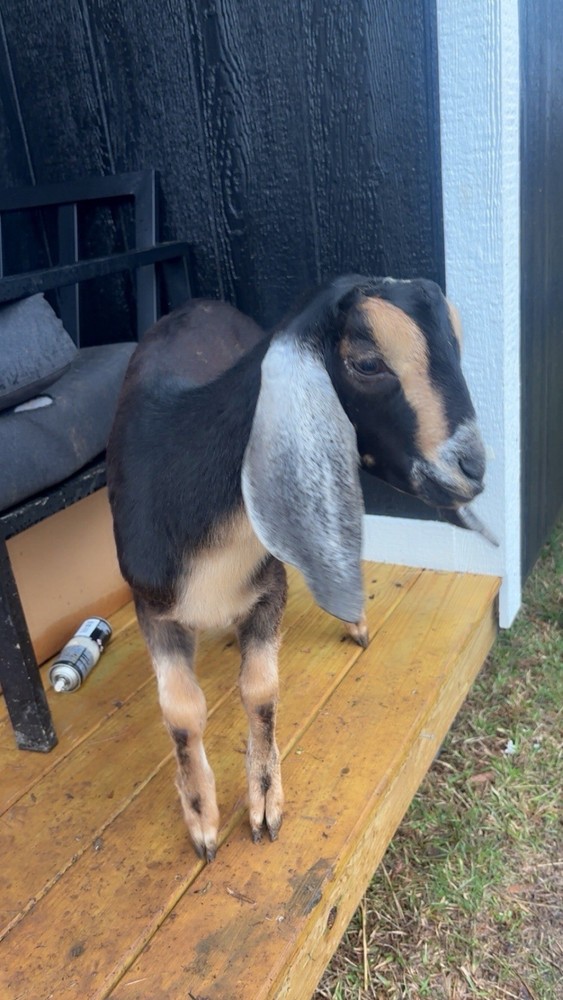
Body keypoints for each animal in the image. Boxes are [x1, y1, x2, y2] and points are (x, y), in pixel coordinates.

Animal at [107, 275, 487, 862]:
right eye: (367, 362)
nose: (473, 468)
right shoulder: (151, 604)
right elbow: (182, 712)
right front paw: (202, 822)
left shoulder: (268, 587)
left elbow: (260, 689)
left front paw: (265, 803)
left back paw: (355, 623)